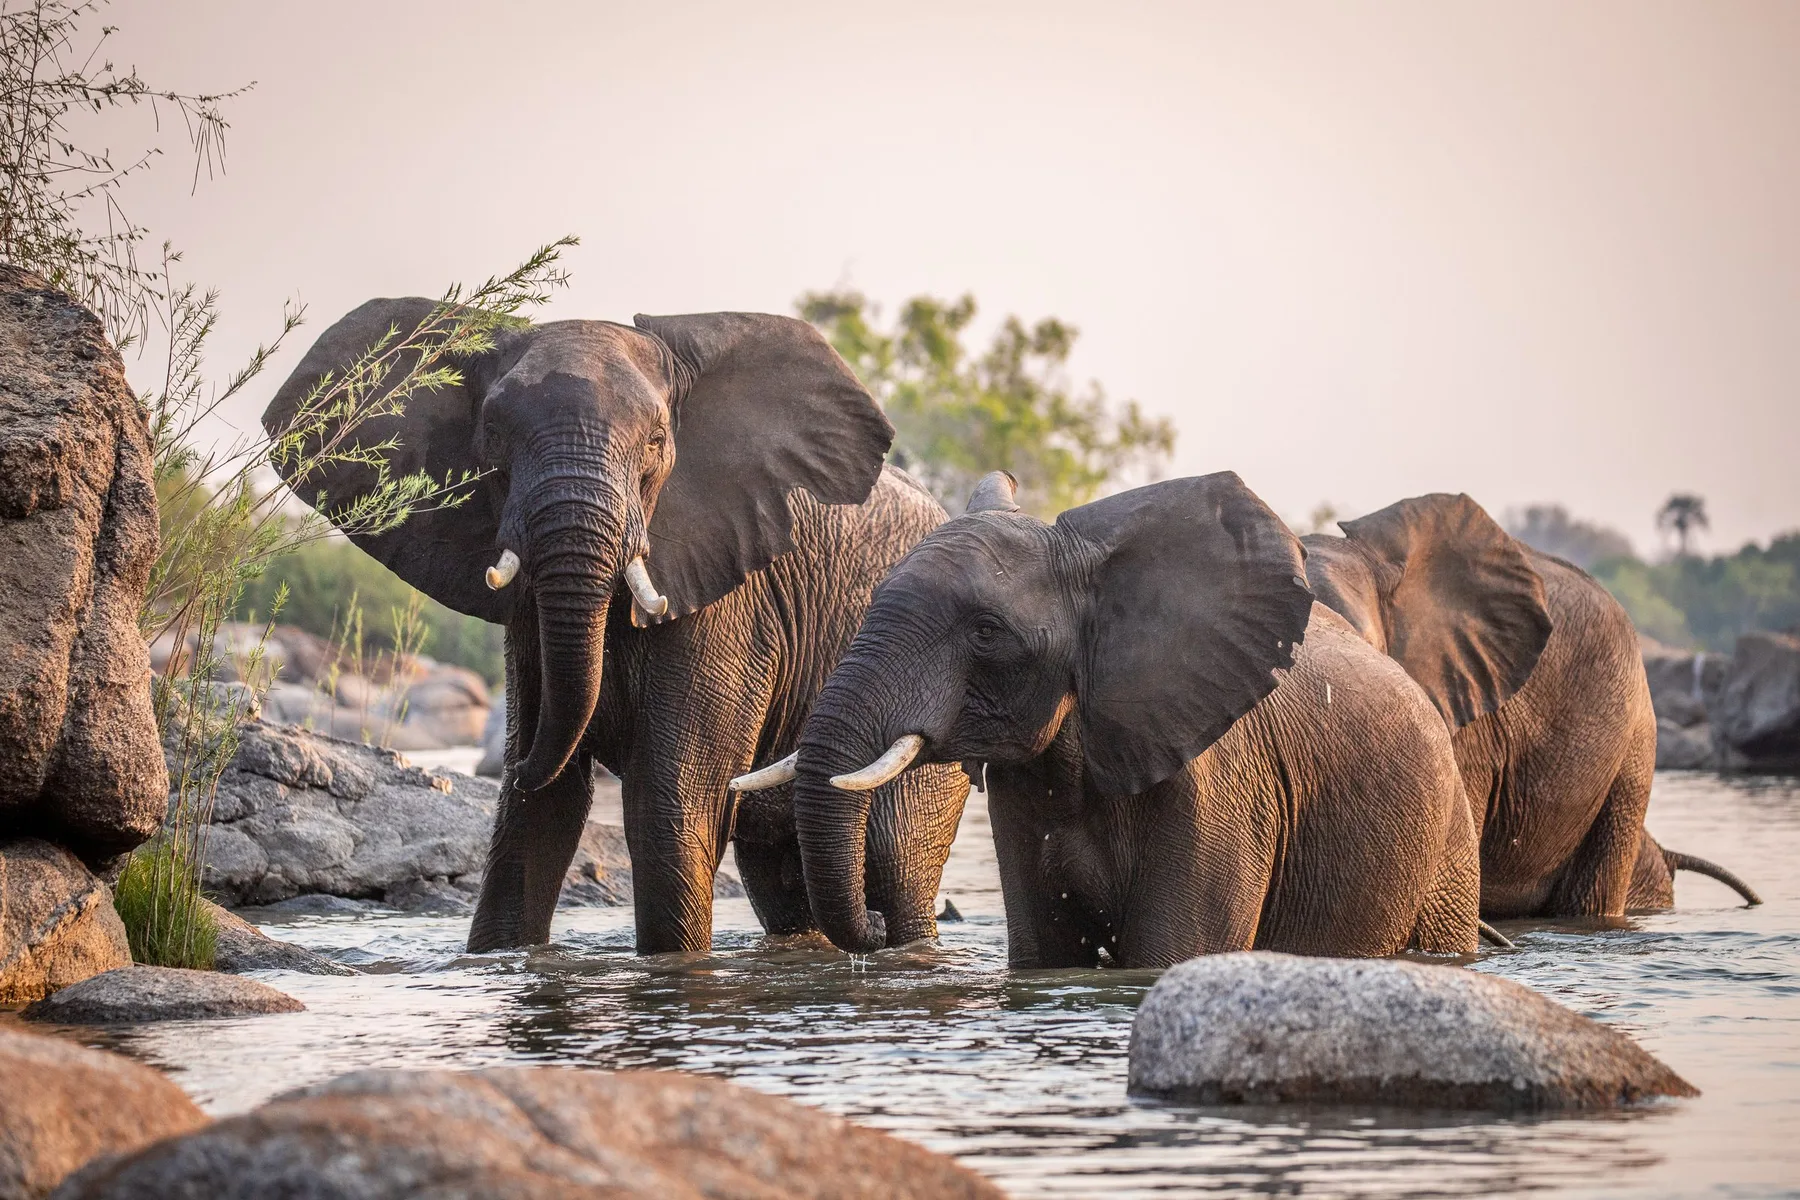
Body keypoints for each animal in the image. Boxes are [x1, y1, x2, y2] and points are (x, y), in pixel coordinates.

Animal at [263, 300, 969, 954]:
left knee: (895, 864)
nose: (510, 760)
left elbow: (669, 802)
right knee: (780, 882)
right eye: (491, 433)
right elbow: (538, 817)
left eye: (656, 441)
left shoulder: (731, 598)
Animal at [744, 471, 1482, 967]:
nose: (873, 924)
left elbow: (1173, 955)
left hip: (1450, 842)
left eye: (987, 631)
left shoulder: (1223, 790)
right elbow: (1045, 956)